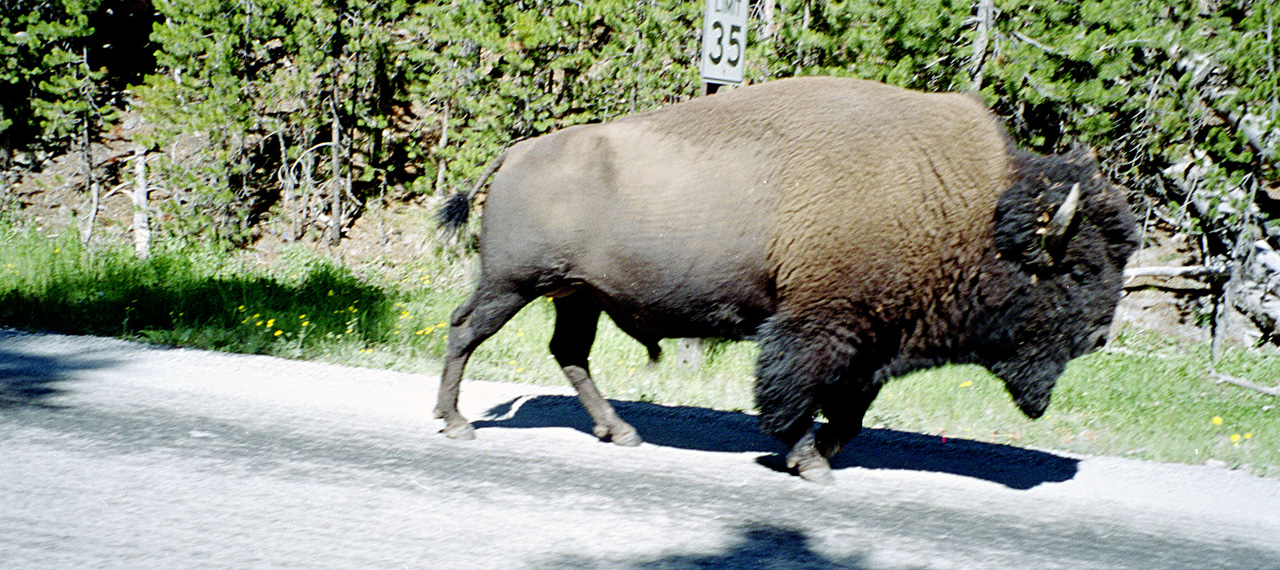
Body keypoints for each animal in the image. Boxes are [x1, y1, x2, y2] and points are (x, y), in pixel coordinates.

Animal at [435, 77, 1136, 481]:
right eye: (1079, 267)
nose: (1100, 336)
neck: (968, 207)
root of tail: (517, 152)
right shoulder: (818, 328)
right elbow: (796, 397)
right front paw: (806, 461)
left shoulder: (873, 343)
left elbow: (850, 413)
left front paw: (819, 456)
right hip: (512, 285)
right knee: (465, 330)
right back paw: (456, 423)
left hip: (576, 296)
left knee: (569, 353)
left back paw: (622, 432)